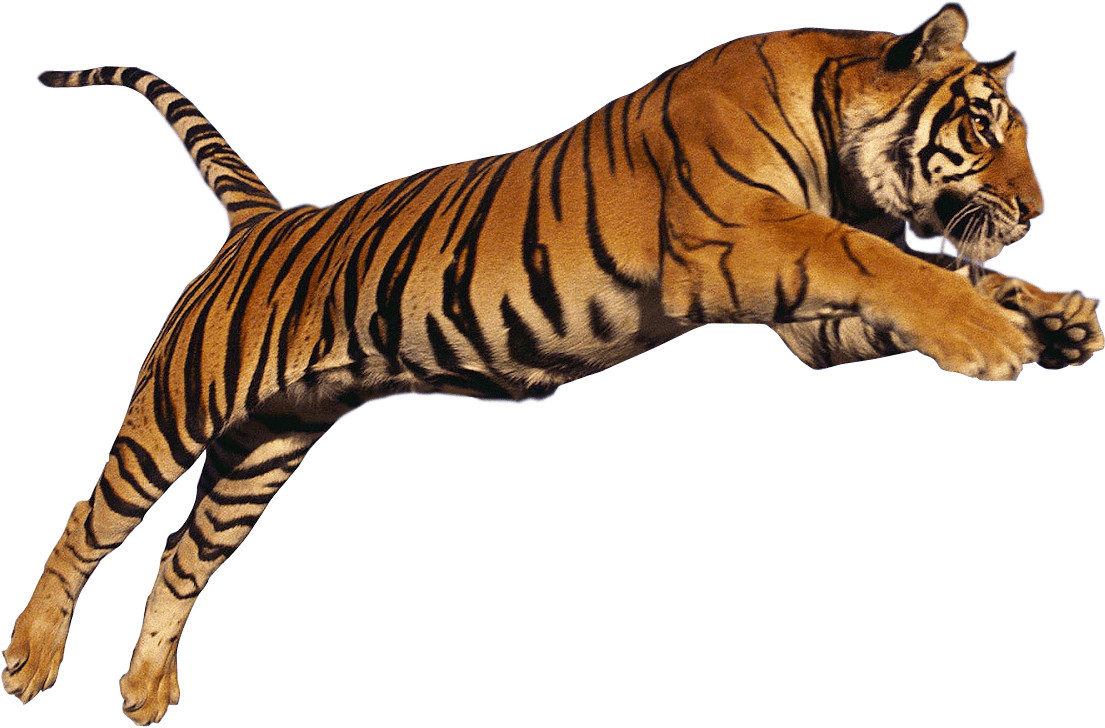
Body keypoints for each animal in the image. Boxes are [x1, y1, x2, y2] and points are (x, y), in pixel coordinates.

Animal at [6, 2, 1103, 724]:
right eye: (981, 125)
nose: (1036, 210)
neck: (837, 146)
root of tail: (263, 218)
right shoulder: (751, 240)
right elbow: (889, 263)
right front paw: (992, 337)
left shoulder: (808, 323)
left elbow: (940, 275)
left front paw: (1055, 318)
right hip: (179, 407)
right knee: (90, 517)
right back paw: (30, 657)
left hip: (266, 447)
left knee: (183, 552)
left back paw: (146, 688)